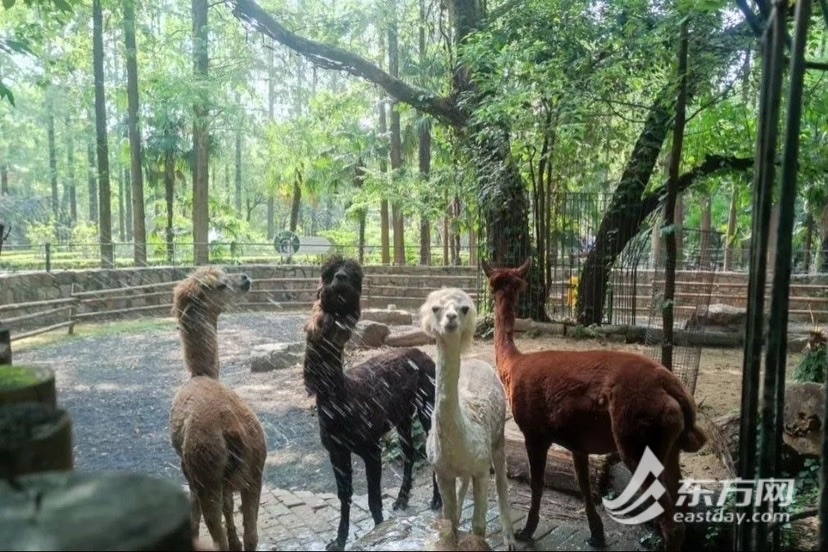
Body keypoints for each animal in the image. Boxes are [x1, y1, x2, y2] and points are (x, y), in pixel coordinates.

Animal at [169, 266, 267, 551]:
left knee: (217, 535)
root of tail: (231, 428)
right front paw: (236, 539)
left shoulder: (186, 467)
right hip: (254, 471)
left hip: (205, 472)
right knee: (252, 534)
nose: (245, 278)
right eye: (221, 284)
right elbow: (229, 506)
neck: (201, 374)